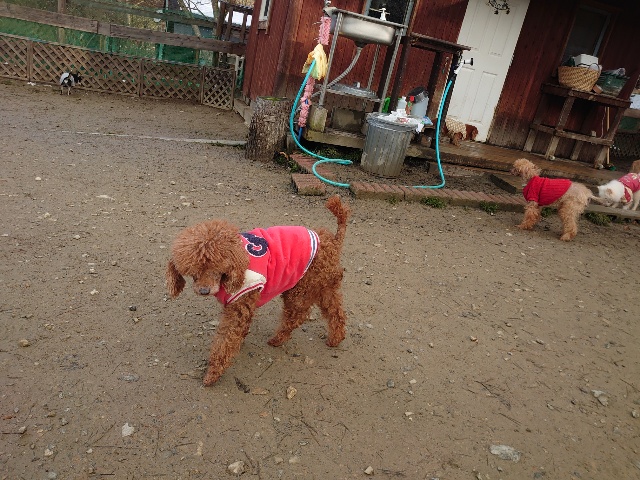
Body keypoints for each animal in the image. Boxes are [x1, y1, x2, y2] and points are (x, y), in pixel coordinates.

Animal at [166, 195, 351, 386]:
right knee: (336, 313)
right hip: (325, 285)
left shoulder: (240, 302)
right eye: (193, 272)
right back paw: (335, 339)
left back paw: (277, 339)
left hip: (300, 287)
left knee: (297, 316)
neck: (236, 262)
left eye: (216, 268)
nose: (204, 290)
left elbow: (224, 342)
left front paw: (212, 374)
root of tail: (333, 241)